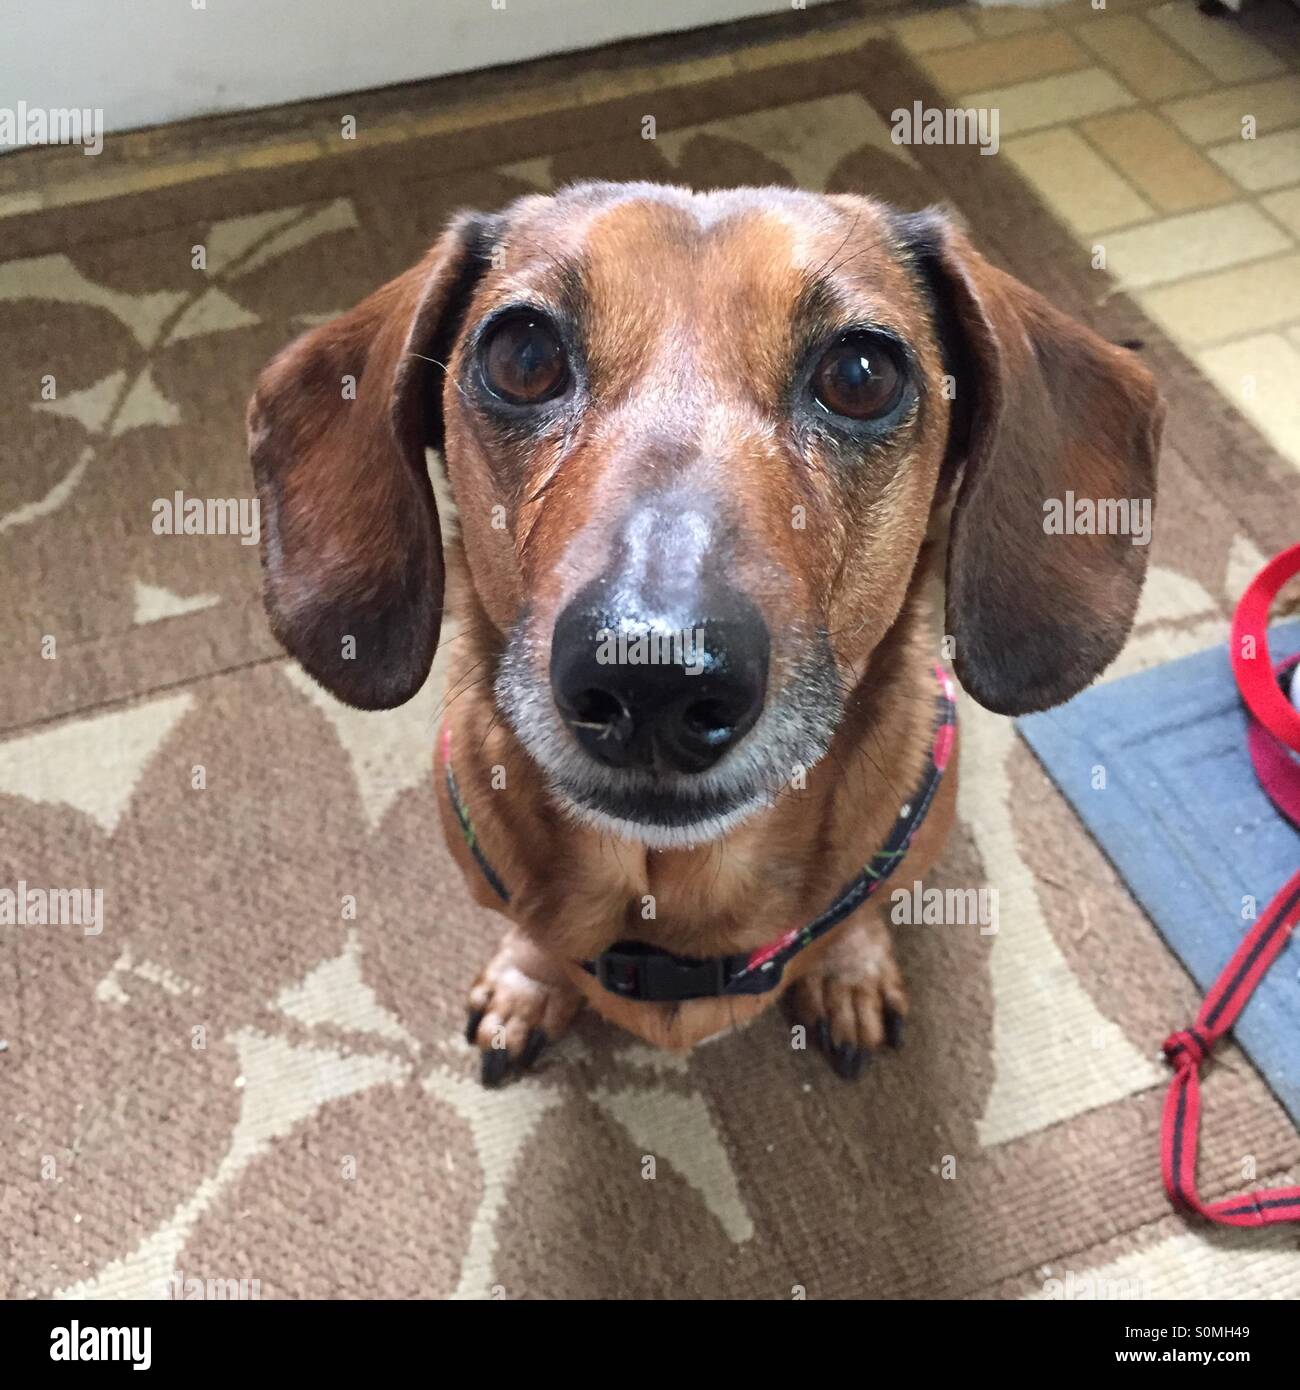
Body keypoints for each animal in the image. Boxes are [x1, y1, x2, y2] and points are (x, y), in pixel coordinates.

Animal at [248, 179, 1162, 1084]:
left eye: (861, 374)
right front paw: (528, 980)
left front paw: (849, 970)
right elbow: (537, 940)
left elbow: (855, 916)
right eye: (522, 358)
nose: (652, 672)